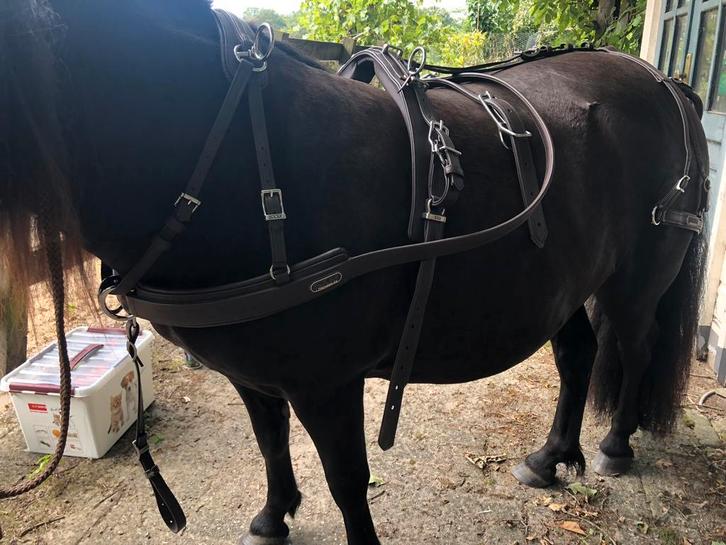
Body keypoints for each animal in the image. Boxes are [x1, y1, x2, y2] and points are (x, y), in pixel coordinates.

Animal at [0, 1, 709, 544]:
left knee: (635, 346)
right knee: (577, 354)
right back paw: (551, 456)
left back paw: (615, 446)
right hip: (564, 284)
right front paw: (274, 516)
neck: (242, 156)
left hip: (632, 283)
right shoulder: (254, 372)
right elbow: (269, 440)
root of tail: (662, 80)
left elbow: (346, 481)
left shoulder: (326, 383)